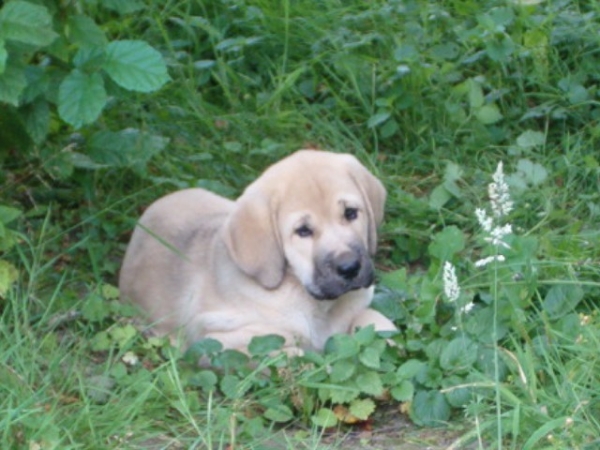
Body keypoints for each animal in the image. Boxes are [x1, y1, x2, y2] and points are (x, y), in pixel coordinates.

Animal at [119, 151, 396, 356]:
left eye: (351, 213)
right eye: (303, 231)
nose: (350, 268)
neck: (318, 306)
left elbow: (374, 320)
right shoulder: (218, 341)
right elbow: (291, 352)